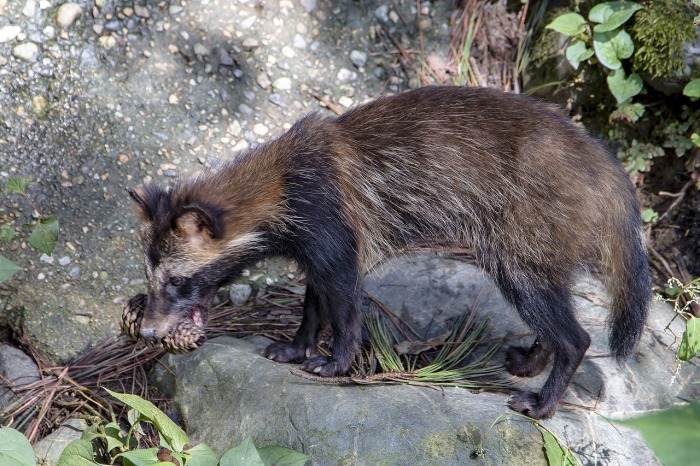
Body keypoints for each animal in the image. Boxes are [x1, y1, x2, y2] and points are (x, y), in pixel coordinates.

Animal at [130, 84, 652, 418]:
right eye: (149, 277)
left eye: (177, 280)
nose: (149, 331)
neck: (280, 180)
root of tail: (605, 168)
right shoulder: (315, 246)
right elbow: (314, 300)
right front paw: (300, 344)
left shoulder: (331, 229)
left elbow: (344, 306)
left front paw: (337, 360)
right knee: (552, 314)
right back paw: (534, 359)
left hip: (520, 246)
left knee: (574, 336)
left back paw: (544, 400)